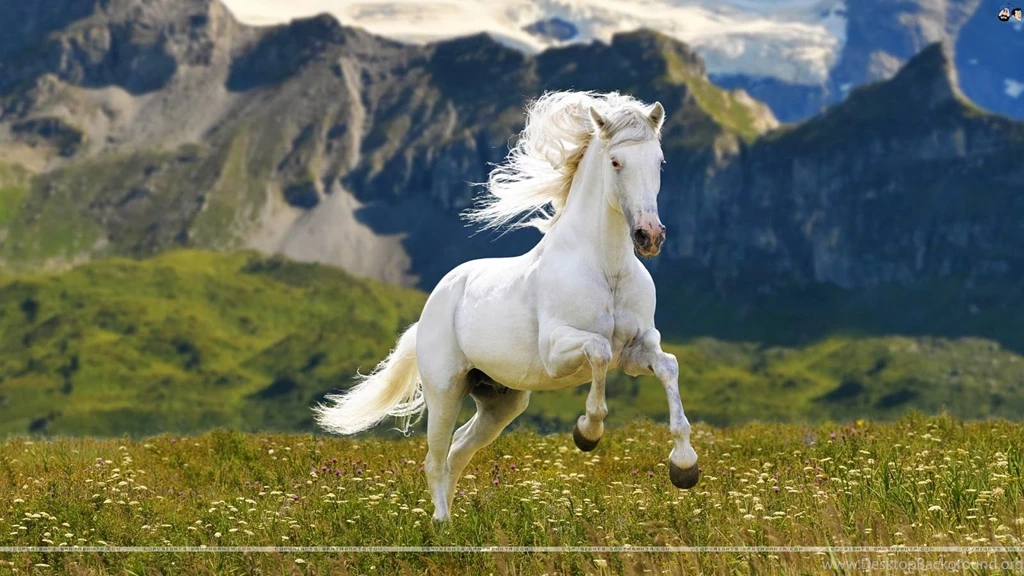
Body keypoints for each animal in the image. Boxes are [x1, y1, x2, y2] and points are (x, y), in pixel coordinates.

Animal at [314, 90, 699, 522]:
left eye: (659, 161)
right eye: (616, 161)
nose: (650, 235)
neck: (607, 269)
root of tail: (431, 306)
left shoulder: (636, 350)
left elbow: (669, 366)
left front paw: (685, 467)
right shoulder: (557, 351)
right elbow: (599, 351)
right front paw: (587, 433)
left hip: (501, 400)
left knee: (458, 449)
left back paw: (454, 521)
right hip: (445, 390)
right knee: (435, 458)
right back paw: (441, 523)